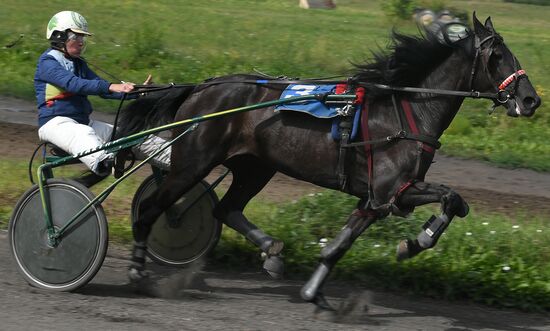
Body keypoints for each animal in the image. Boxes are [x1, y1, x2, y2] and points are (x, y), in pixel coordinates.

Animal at [119, 14, 544, 310]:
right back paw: (138, 270)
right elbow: (452, 198)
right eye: (496, 56)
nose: (531, 100)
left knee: (226, 208)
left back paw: (272, 251)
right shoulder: (391, 192)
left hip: (256, 167)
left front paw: (313, 291)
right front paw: (415, 242)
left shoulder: (373, 200)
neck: (407, 111)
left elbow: (341, 245)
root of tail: (201, 87)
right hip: (193, 163)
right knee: (152, 208)